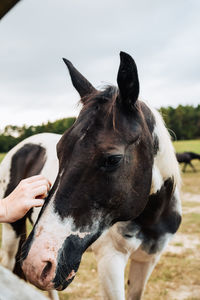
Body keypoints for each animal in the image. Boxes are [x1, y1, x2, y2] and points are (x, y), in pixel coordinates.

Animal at [0, 52, 181, 298]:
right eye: (59, 150)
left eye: (113, 159)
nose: (37, 260)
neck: (152, 215)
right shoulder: (110, 261)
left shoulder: (148, 260)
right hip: (12, 233)